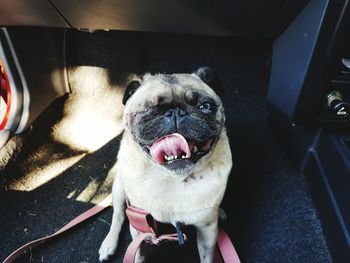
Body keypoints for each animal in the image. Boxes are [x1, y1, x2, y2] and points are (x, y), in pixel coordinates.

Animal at [98, 68, 232, 263]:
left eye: (205, 106)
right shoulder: (139, 227)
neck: (171, 178)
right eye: (146, 109)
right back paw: (109, 243)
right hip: (119, 188)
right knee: (118, 213)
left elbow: (207, 256)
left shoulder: (207, 229)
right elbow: (138, 253)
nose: (175, 112)